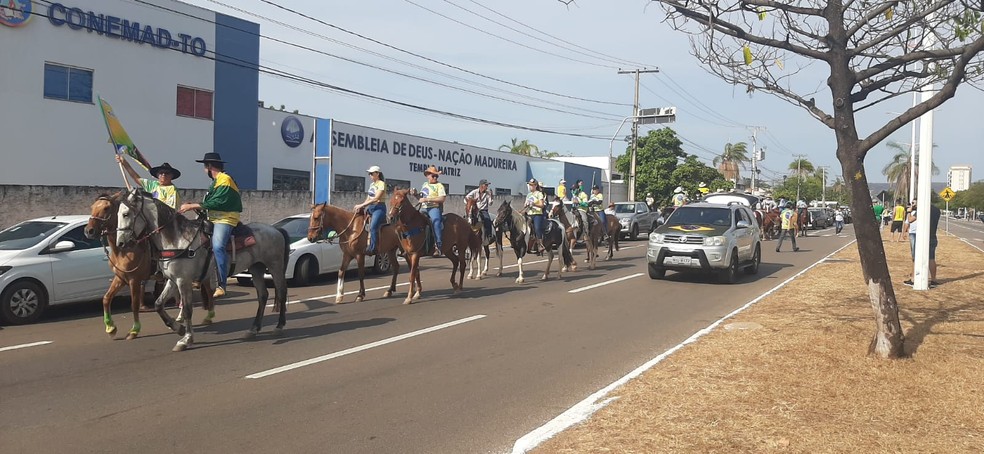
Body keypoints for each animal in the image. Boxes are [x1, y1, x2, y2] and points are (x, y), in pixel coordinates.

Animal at [84, 192, 215, 340]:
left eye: (106, 208)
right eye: (92, 207)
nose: (88, 231)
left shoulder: (134, 279)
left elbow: (134, 304)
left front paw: (134, 330)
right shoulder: (121, 277)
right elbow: (106, 298)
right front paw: (110, 327)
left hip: (205, 274)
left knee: (209, 292)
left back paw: (208, 316)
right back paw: (181, 317)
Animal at [116, 188, 290, 352]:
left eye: (126, 214)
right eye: (118, 213)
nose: (120, 243)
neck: (178, 240)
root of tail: (276, 230)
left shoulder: (183, 281)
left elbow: (187, 309)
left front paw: (186, 339)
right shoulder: (173, 280)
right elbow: (159, 304)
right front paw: (178, 328)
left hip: (275, 266)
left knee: (281, 292)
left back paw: (279, 326)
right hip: (256, 268)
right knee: (263, 295)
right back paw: (253, 329)